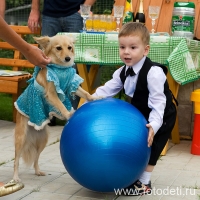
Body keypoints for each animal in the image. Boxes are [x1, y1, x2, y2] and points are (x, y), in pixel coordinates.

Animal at [12, 34, 101, 181]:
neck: (61, 69)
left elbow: (85, 93)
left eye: (69, 47)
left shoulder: (72, 85)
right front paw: (68, 114)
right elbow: (60, 104)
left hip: (43, 140)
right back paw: (15, 178)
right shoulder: (52, 92)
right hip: (21, 138)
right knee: (16, 160)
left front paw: (95, 98)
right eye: (58, 48)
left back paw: (38, 171)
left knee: (36, 158)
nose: (68, 58)